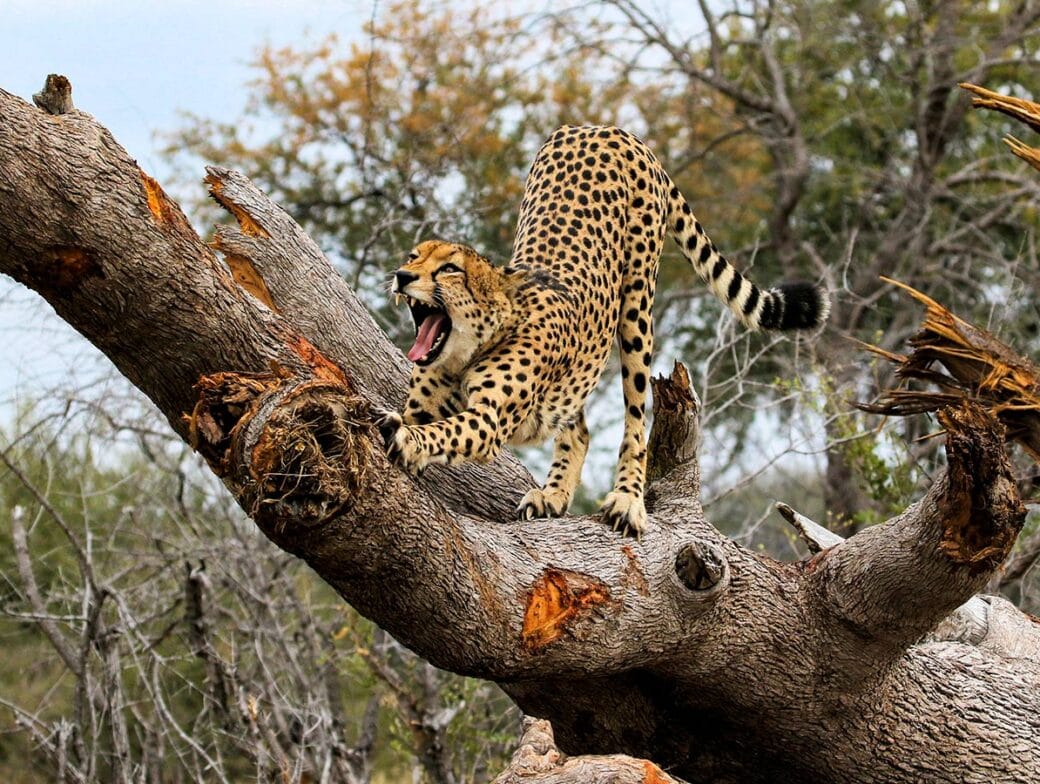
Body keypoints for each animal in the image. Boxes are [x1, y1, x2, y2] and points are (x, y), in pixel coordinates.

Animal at [380, 125, 828, 536]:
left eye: (449, 269)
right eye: (413, 256)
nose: (402, 275)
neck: (468, 347)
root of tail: (605, 128)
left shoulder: (489, 418)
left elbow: (446, 430)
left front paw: (409, 441)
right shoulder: (423, 403)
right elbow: (425, 421)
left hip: (637, 310)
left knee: (635, 420)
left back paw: (628, 500)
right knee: (578, 428)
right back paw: (553, 493)